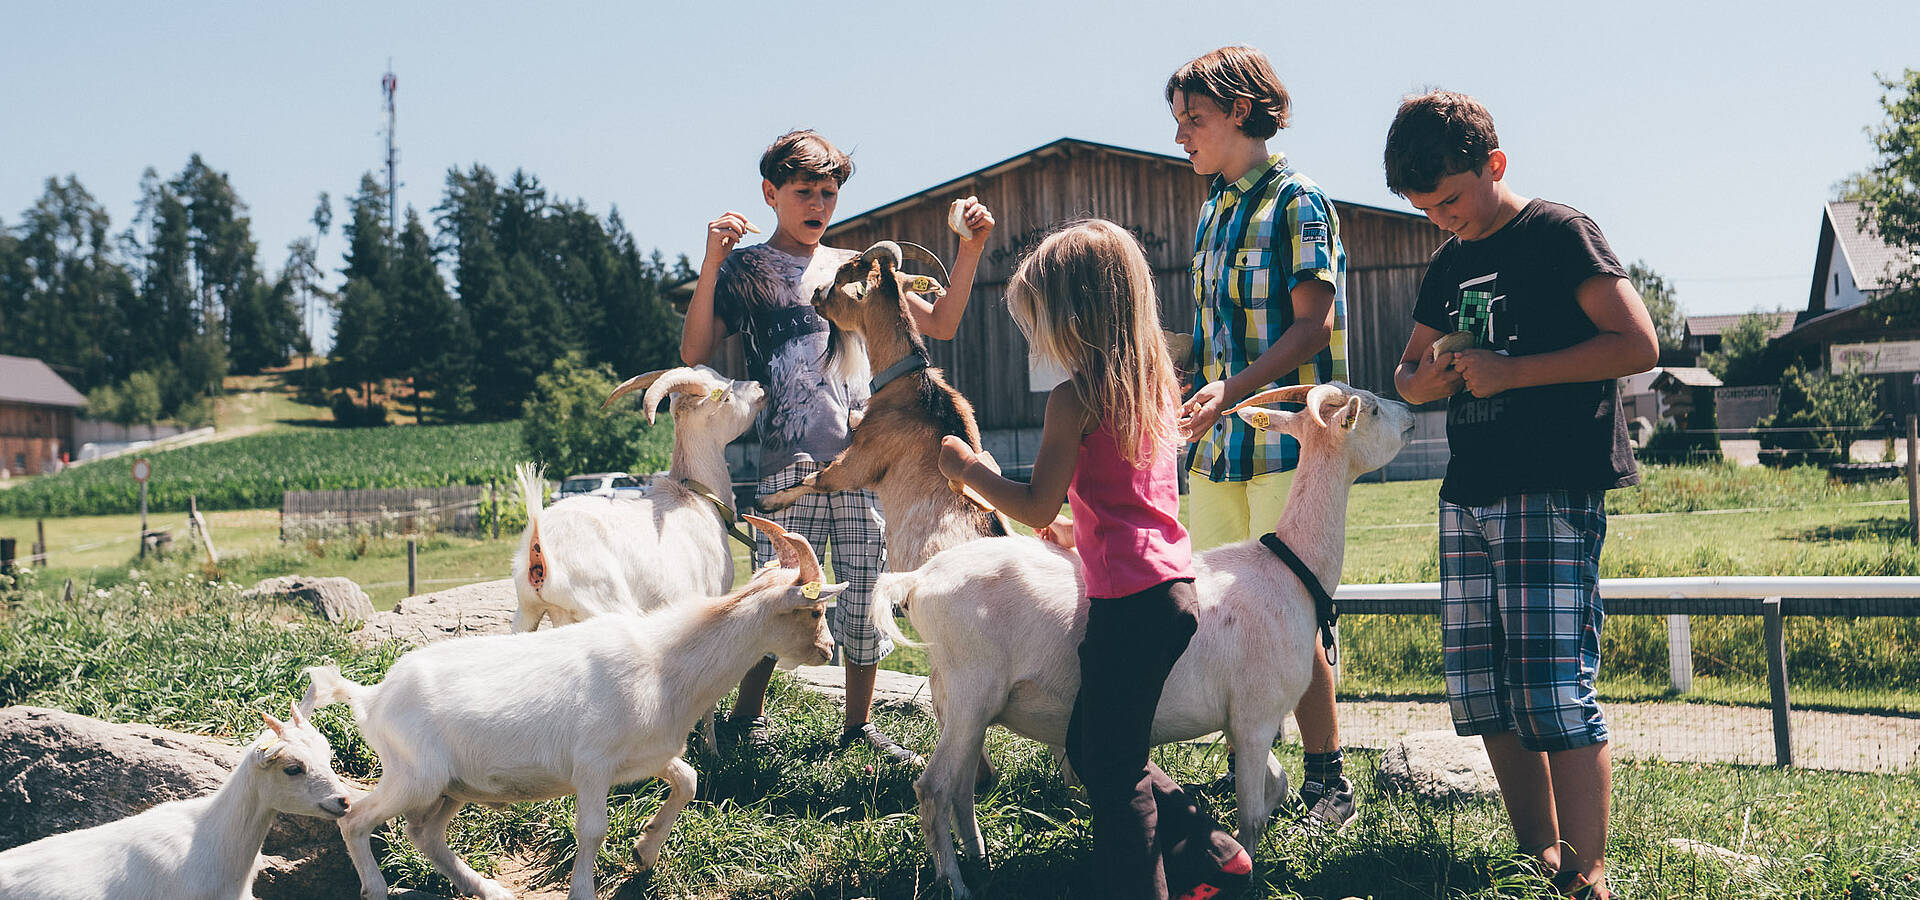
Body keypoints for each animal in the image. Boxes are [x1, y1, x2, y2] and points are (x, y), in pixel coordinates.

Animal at [303, 510, 837, 898]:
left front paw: (645, 850)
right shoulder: (593, 764)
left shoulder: (646, 754)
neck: (664, 663)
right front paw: (587, 888)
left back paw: (489, 889)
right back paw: (377, 889)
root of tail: (371, 696)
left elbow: (687, 779)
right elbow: (593, 829)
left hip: (451, 787)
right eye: (814, 611)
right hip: (416, 776)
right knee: (355, 819)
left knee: (426, 836)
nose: (829, 651)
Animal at [510, 360, 764, 629]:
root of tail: (539, 545)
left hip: (527, 613)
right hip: (605, 604)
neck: (698, 497)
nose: (758, 386)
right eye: (727, 396)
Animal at [756, 245, 1013, 568]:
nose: (815, 292)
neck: (910, 384)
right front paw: (854, 414)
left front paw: (766, 502)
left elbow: (816, 477)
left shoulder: (861, 459)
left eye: (840, 277)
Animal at [879, 381, 1420, 894]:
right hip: (971, 691)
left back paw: (981, 862)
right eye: (1371, 409)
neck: (1288, 570)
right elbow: (1252, 810)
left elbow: (1276, 784)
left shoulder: (1238, 719)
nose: (1411, 415)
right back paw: (955, 884)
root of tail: (918, 580)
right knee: (933, 788)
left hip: (962, 702)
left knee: (961, 787)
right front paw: (1247, 873)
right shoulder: (1255, 714)